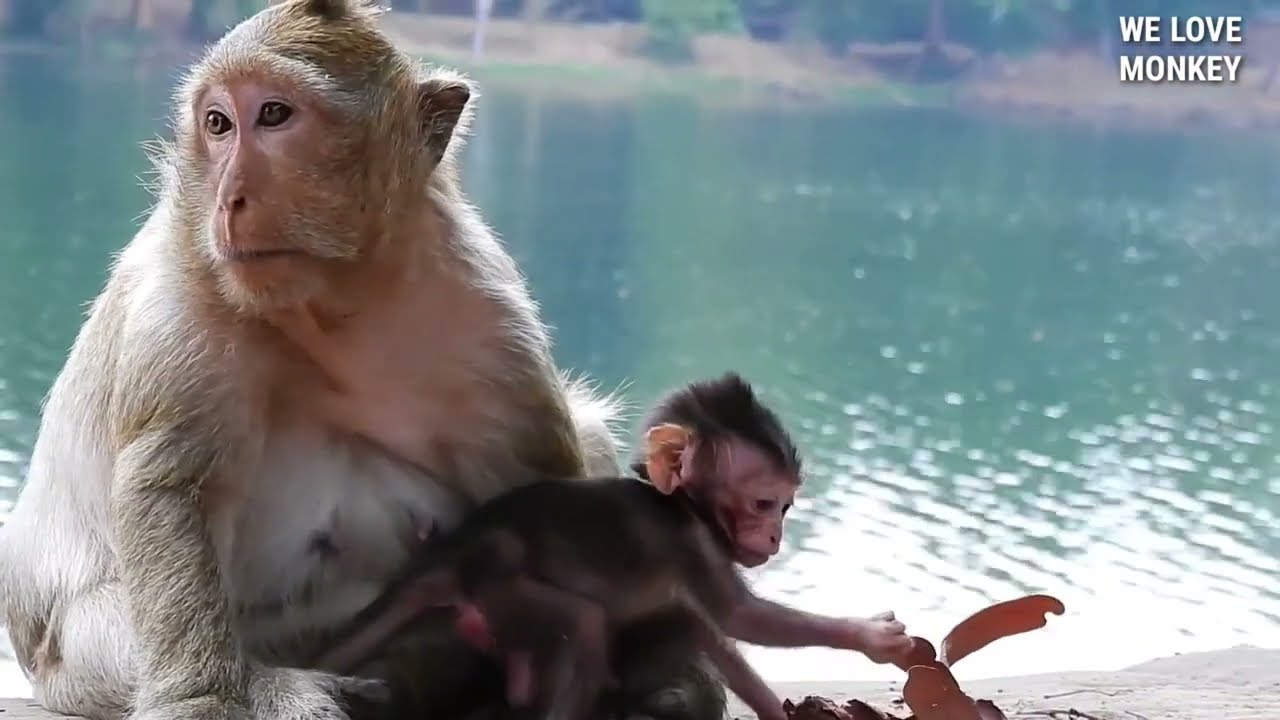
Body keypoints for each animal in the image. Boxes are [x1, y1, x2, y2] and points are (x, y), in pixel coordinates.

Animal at [0, 2, 750, 720]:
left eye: (274, 115)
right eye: (217, 124)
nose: (229, 197)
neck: (331, 306)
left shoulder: (487, 315)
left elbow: (544, 487)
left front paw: (666, 673)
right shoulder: (179, 308)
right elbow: (173, 492)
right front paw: (202, 700)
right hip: (70, 656)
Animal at [313, 373, 918, 720]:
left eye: (786, 508)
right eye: (765, 504)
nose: (775, 535)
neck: (683, 507)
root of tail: (454, 549)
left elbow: (710, 631)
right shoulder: (692, 544)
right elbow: (741, 617)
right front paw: (871, 637)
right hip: (501, 582)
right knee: (581, 626)